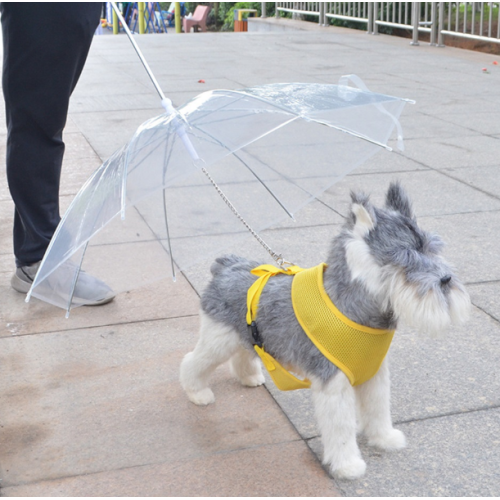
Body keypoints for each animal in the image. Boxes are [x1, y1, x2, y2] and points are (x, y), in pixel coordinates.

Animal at [179, 182, 468, 478]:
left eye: (432, 249)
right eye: (405, 257)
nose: (446, 280)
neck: (352, 306)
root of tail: (226, 265)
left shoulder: (374, 374)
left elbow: (378, 410)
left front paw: (384, 438)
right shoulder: (334, 384)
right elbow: (341, 428)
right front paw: (348, 464)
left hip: (244, 336)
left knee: (243, 353)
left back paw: (248, 376)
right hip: (218, 340)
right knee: (193, 361)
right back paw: (197, 393)